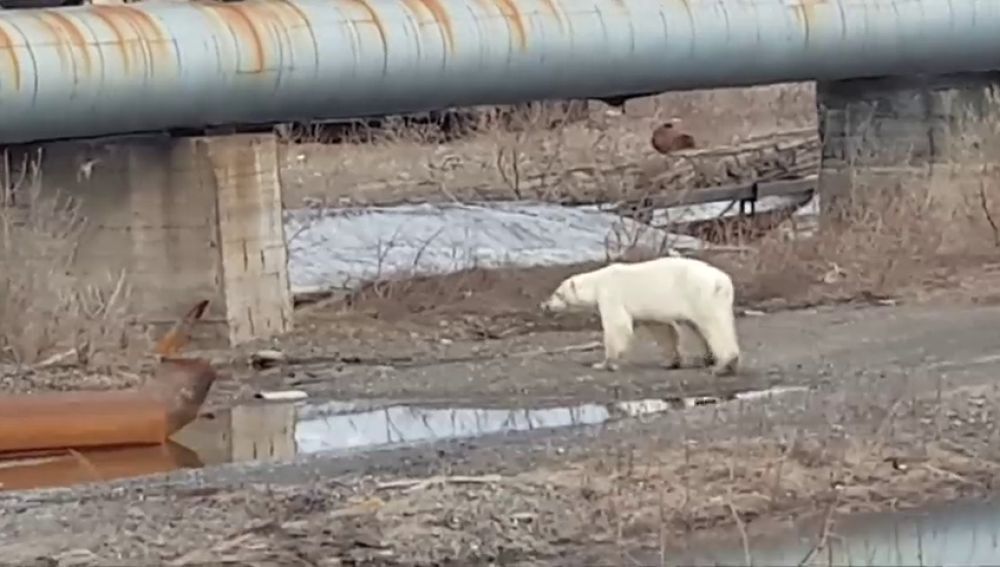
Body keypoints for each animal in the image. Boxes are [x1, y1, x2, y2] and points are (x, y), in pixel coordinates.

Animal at [540, 258, 744, 378]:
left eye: (558, 293)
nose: (546, 305)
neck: (597, 282)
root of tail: (723, 280)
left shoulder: (610, 294)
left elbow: (617, 325)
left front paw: (604, 364)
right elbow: (660, 328)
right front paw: (669, 361)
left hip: (701, 295)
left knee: (713, 325)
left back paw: (723, 364)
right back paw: (708, 360)